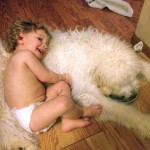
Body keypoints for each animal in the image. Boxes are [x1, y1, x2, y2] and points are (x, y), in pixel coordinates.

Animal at [0, 27, 150, 149]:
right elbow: (123, 111)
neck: (92, 56)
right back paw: (22, 144)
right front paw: (145, 122)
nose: (133, 94)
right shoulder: (88, 91)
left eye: (133, 77)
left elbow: (144, 66)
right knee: (8, 127)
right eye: (121, 83)